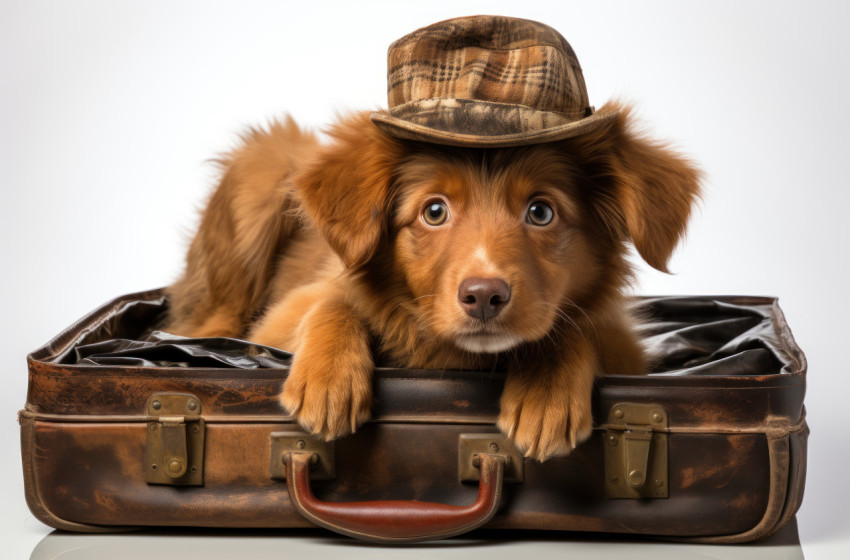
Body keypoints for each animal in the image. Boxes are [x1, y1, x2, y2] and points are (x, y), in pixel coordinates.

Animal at [162, 18, 700, 464]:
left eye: (541, 212)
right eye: (434, 211)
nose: (483, 296)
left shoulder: (626, 346)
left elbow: (576, 327)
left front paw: (546, 387)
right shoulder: (279, 318)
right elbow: (334, 299)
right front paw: (328, 376)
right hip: (260, 171)